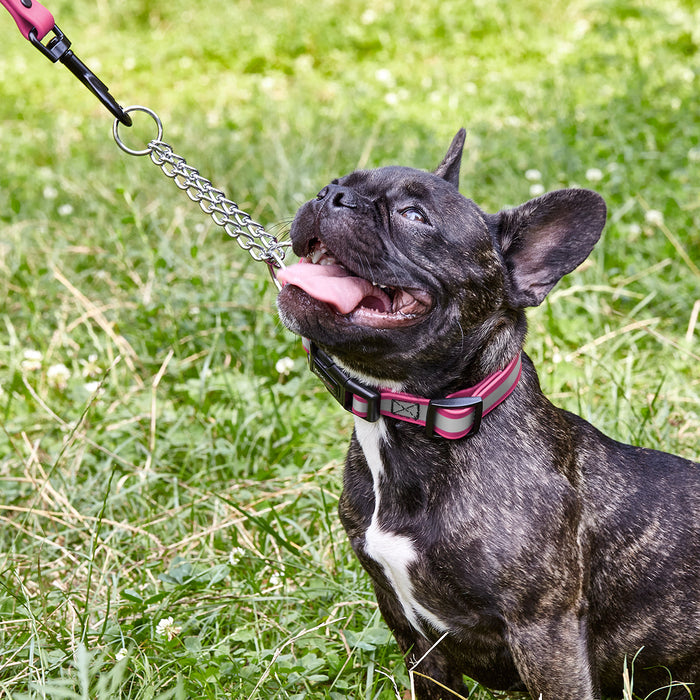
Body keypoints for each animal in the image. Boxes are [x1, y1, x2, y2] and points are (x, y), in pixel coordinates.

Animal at [274, 129, 700, 696]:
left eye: (413, 215)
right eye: (338, 181)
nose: (330, 195)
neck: (416, 419)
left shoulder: (545, 633)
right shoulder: (414, 638)